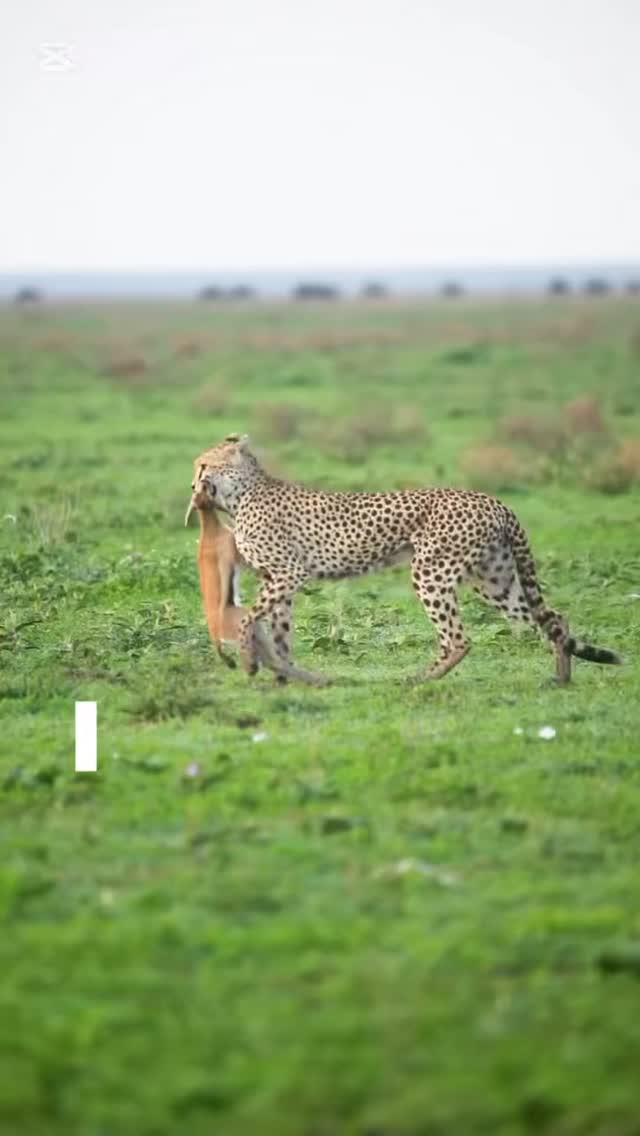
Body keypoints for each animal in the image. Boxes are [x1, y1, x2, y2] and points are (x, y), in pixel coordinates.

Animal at [189, 433, 621, 686]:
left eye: (205, 464)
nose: (194, 482)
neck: (244, 493)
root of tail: (493, 500)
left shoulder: (288, 572)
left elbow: (248, 618)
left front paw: (251, 663)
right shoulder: (278, 579)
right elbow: (280, 633)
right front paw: (285, 677)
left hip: (431, 572)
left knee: (458, 639)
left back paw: (419, 680)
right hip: (493, 579)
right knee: (554, 620)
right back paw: (562, 678)